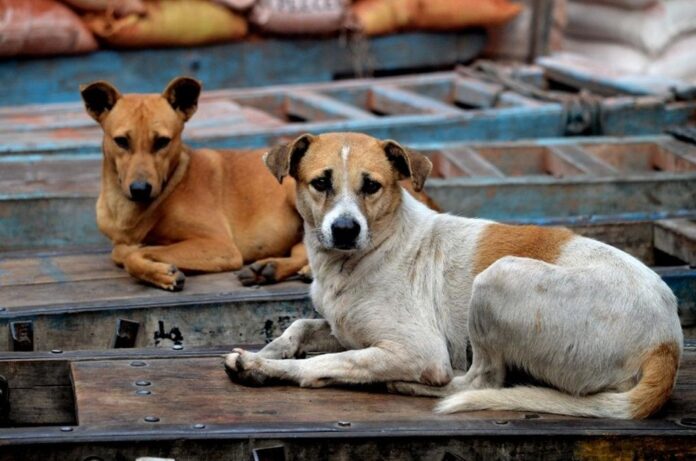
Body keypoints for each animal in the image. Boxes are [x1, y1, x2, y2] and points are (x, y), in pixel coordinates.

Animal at [80, 77, 436, 290]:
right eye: (121, 141)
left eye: (162, 142)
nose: (140, 189)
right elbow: (123, 250)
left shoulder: (219, 246)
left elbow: (130, 253)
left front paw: (159, 269)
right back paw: (270, 268)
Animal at [226, 131, 684, 418]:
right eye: (321, 183)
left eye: (371, 186)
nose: (344, 230)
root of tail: (668, 343)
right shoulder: (345, 327)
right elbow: (301, 326)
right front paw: (272, 350)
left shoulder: (418, 350)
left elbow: (329, 362)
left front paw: (263, 367)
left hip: (498, 279)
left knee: (480, 382)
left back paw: (407, 386)